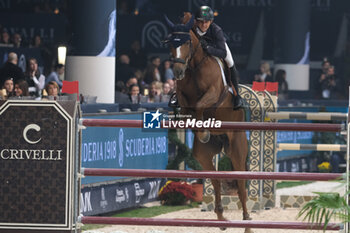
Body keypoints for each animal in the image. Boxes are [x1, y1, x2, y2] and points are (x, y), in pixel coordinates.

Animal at [164, 13, 252, 233]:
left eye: (187, 42)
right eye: (170, 43)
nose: (177, 72)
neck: (194, 66)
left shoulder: (213, 94)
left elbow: (201, 105)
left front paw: (203, 130)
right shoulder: (183, 100)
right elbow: (188, 111)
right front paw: (201, 130)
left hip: (237, 150)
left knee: (240, 183)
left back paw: (247, 221)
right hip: (203, 156)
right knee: (216, 179)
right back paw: (221, 217)